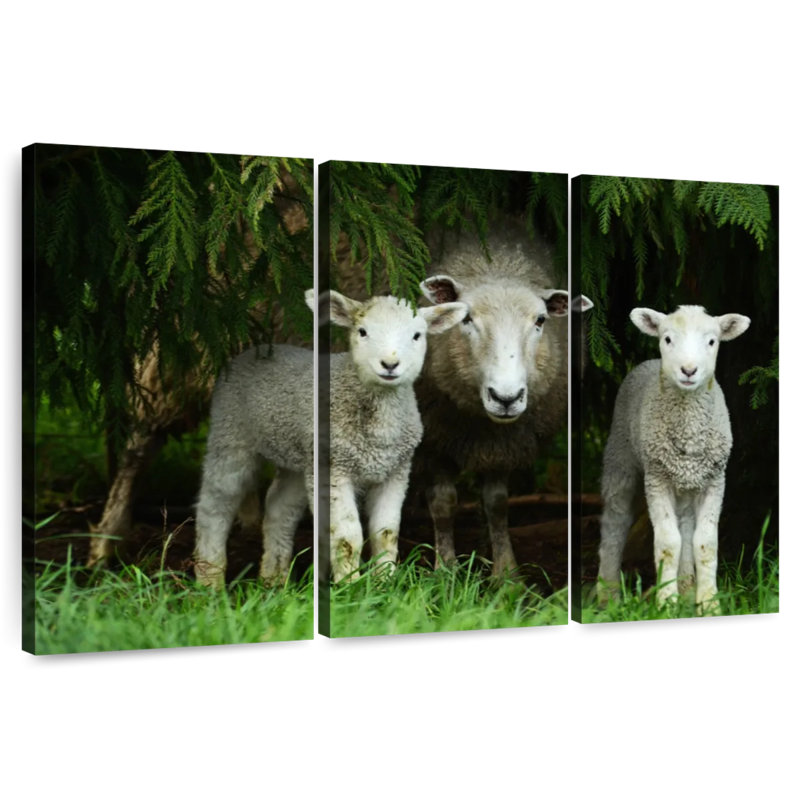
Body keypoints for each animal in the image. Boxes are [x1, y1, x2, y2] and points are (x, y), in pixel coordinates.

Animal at [193, 288, 467, 587]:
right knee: (215, 504)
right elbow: (348, 538)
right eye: (362, 331)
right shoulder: (336, 469)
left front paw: (385, 583)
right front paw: (351, 586)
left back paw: (274, 579)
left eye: (417, 335)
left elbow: (386, 533)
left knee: (280, 507)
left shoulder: (395, 471)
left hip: (299, 454)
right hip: (231, 434)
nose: (390, 364)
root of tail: (257, 350)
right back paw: (210, 579)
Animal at [416, 226, 593, 576]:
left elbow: (497, 504)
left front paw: (506, 574)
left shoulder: (504, 443)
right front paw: (445, 571)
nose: (506, 397)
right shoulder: (434, 436)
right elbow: (442, 503)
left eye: (540, 320)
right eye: (466, 319)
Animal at [597, 305, 750, 612]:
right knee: (615, 521)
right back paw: (608, 595)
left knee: (686, 525)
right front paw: (666, 601)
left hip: (686, 481)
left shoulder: (715, 479)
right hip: (620, 455)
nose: (688, 370)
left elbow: (705, 543)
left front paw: (709, 603)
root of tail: (649, 360)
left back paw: (687, 588)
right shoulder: (657, 478)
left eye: (712, 341)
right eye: (667, 338)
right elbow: (668, 543)